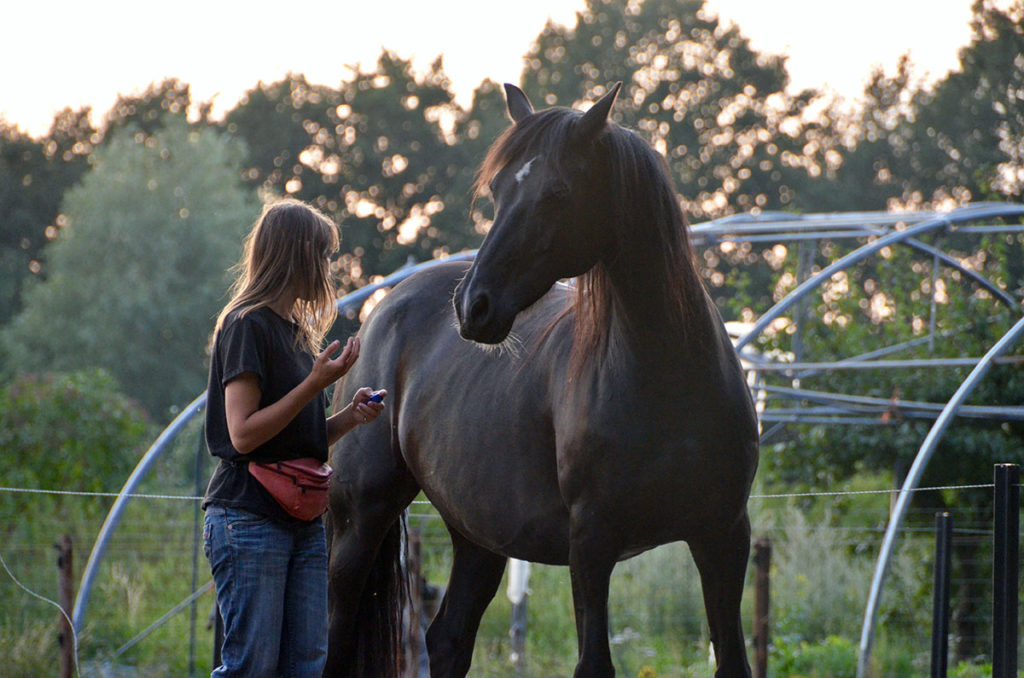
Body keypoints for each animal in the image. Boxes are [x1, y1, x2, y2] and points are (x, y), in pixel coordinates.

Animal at [327, 85, 761, 678]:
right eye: (497, 189)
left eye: (557, 192)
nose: (473, 306)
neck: (667, 379)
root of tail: (380, 312)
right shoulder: (592, 541)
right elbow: (594, 664)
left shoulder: (724, 535)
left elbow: (733, 659)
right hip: (360, 518)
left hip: (477, 536)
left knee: (448, 638)